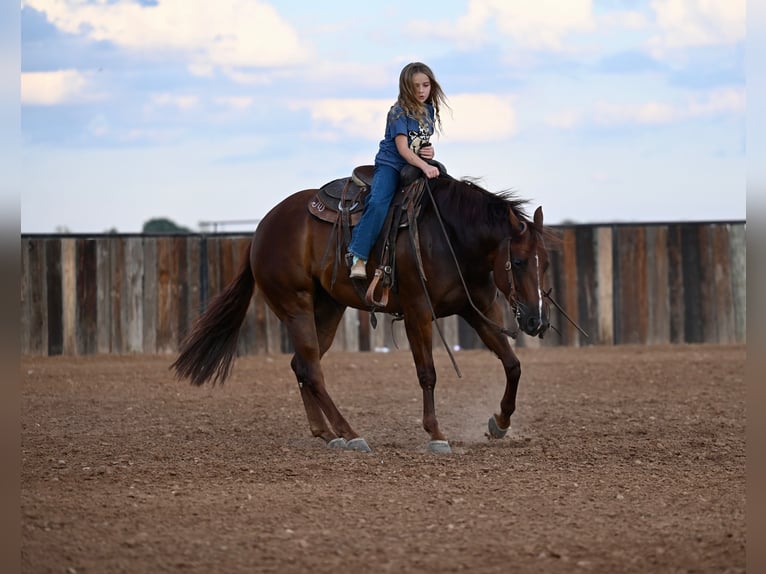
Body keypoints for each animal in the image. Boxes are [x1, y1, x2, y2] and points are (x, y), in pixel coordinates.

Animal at [172, 169, 556, 456]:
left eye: (546, 262)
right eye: (518, 262)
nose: (536, 320)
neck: (450, 235)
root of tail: (262, 229)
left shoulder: (477, 309)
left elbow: (512, 364)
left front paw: (500, 423)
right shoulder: (417, 311)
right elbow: (428, 373)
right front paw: (435, 434)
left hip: (328, 308)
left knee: (301, 365)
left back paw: (328, 434)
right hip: (295, 306)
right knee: (311, 368)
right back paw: (350, 433)